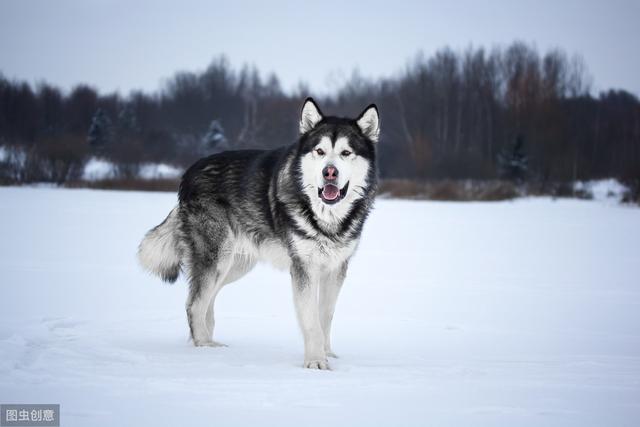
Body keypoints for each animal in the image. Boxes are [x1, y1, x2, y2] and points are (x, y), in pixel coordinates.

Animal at [139, 98, 380, 370]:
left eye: (345, 153)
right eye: (319, 151)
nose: (329, 172)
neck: (326, 218)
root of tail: (188, 174)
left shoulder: (336, 268)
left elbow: (324, 316)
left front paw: (327, 353)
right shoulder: (303, 268)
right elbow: (311, 321)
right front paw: (316, 361)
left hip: (234, 266)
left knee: (205, 302)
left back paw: (209, 343)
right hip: (217, 259)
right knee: (194, 304)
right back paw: (204, 350)